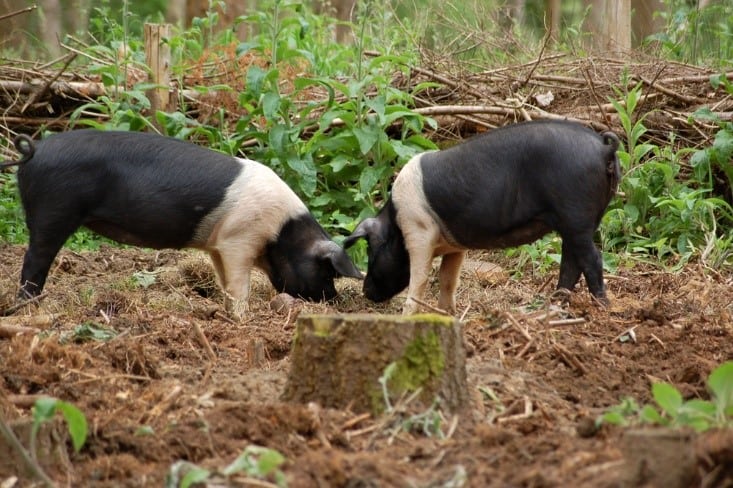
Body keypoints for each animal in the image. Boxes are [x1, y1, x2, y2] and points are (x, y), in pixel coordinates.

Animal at [1, 130, 362, 318]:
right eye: (327, 272)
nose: (333, 301)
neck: (281, 231)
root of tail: (34, 150)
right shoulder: (239, 240)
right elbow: (239, 285)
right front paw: (243, 318)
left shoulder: (219, 246)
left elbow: (224, 283)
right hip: (53, 211)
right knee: (34, 262)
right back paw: (30, 309)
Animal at [346, 120, 620, 314]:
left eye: (370, 251)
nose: (365, 291)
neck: (395, 222)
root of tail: (603, 147)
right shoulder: (455, 246)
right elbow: (448, 279)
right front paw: (448, 313)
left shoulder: (419, 233)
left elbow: (420, 277)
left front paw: (408, 315)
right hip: (582, 220)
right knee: (571, 263)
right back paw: (554, 303)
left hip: (575, 215)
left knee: (592, 260)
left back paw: (602, 308)